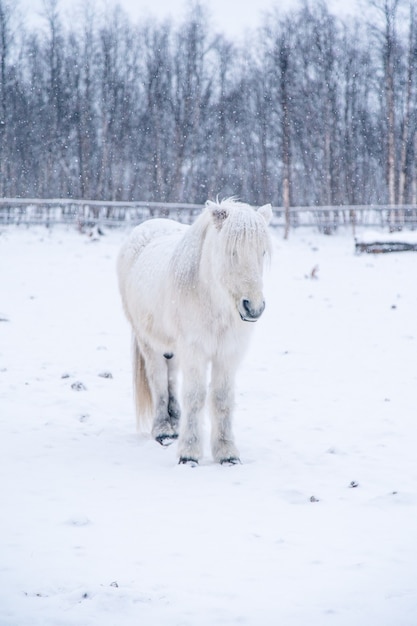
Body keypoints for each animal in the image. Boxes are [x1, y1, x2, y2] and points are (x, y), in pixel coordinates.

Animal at [117, 197, 272, 460]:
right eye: (232, 251)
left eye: (262, 252)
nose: (254, 308)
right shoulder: (195, 350)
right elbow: (195, 396)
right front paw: (189, 453)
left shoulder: (228, 353)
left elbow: (221, 399)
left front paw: (226, 452)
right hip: (148, 341)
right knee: (158, 380)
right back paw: (163, 430)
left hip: (172, 346)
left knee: (170, 376)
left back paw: (175, 422)